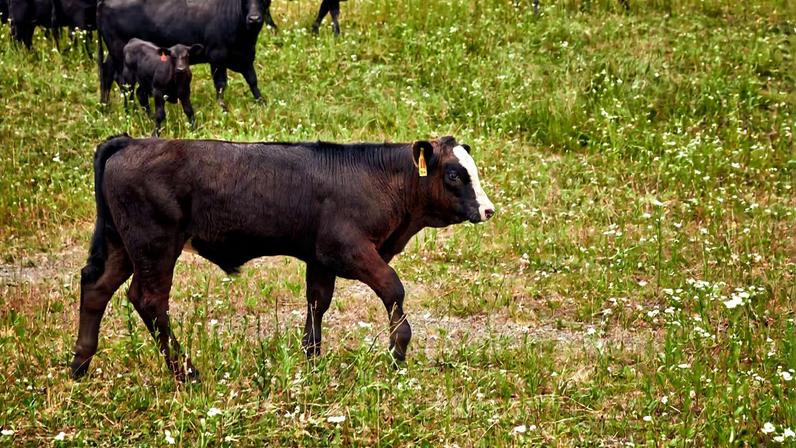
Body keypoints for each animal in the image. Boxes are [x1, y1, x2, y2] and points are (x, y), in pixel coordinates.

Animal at [70, 134, 496, 381]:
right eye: (454, 174)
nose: (488, 209)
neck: (376, 179)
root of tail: (130, 141)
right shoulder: (348, 250)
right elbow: (393, 288)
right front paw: (398, 351)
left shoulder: (320, 258)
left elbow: (317, 302)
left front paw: (311, 358)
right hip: (154, 245)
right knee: (148, 300)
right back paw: (186, 372)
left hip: (121, 244)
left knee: (96, 286)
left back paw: (80, 365)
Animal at [97, 0, 266, 109]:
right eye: (244, 0)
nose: (254, 19)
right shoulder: (217, 57)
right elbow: (221, 85)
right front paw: (222, 108)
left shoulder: (246, 57)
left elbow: (252, 80)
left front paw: (262, 102)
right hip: (119, 55)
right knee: (123, 83)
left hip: (115, 54)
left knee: (107, 74)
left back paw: (105, 107)